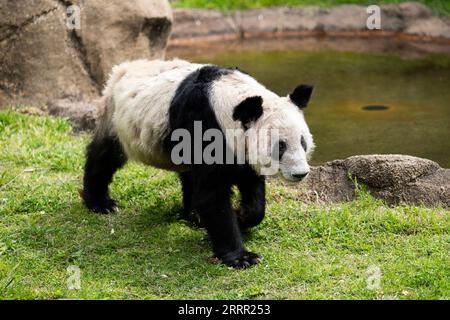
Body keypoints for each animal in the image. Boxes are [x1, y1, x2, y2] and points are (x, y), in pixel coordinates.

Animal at [82, 58, 314, 268]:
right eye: (280, 146)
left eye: (302, 141)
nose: (300, 173)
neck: (231, 99)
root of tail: (121, 68)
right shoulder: (205, 124)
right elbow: (213, 195)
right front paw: (241, 257)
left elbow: (252, 187)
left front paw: (242, 216)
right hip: (117, 118)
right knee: (104, 156)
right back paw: (101, 203)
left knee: (190, 175)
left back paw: (194, 215)